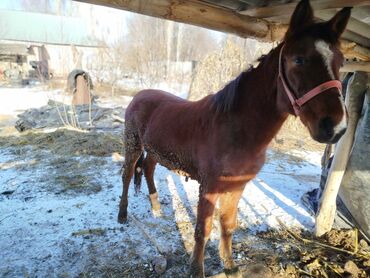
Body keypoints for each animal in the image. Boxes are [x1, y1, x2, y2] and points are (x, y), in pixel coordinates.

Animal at [118, 1, 350, 276]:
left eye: (340, 62)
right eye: (299, 59)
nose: (335, 127)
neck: (237, 130)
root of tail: (139, 95)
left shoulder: (237, 186)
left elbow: (228, 225)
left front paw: (229, 266)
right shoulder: (209, 187)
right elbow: (203, 230)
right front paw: (196, 269)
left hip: (155, 150)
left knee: (149, 168)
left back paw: (156, 208)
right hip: (133, 145)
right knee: (128, 175)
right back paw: (122, 216)